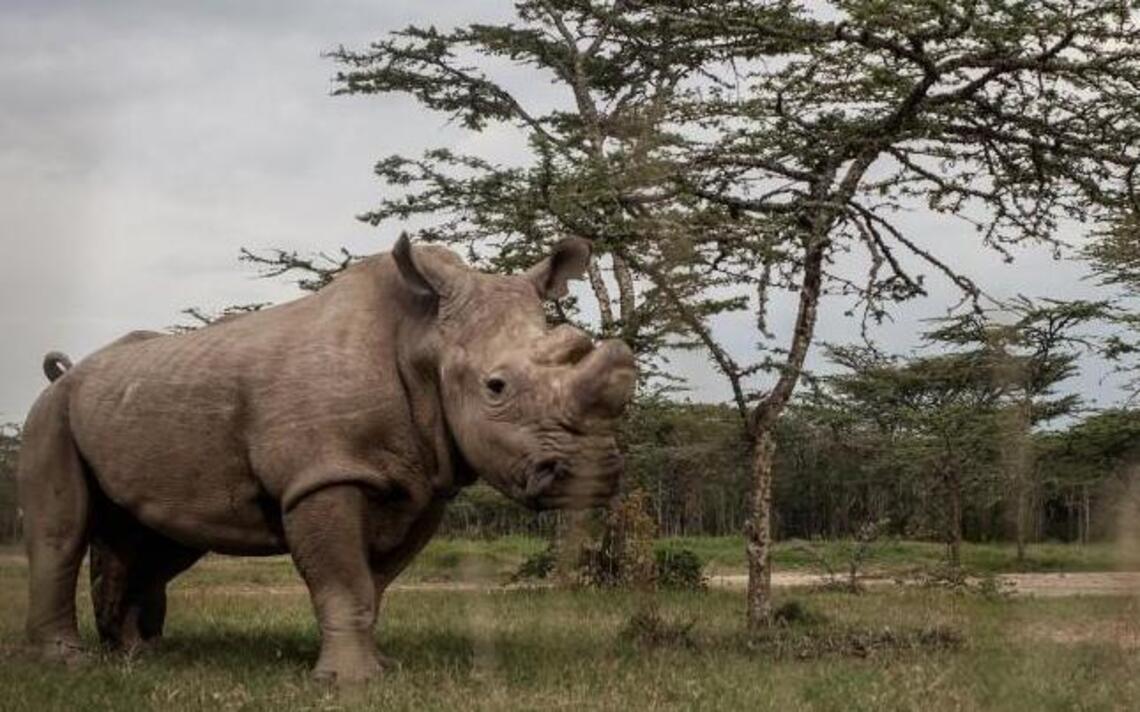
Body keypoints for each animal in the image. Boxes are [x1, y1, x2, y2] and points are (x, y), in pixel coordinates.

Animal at [17, 235, 635, 682]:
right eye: (496, 387)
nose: (594, 476)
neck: (423, 338)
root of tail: (70, 373)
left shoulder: (422, 485)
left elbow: (374, 584)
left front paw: (381, 670)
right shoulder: (324, 474)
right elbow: (344, 580)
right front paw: (349, 684)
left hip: (136, 407)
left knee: (161, 536)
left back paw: (135, 657)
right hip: (50, 413)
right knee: (61, 531)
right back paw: (67, 664)